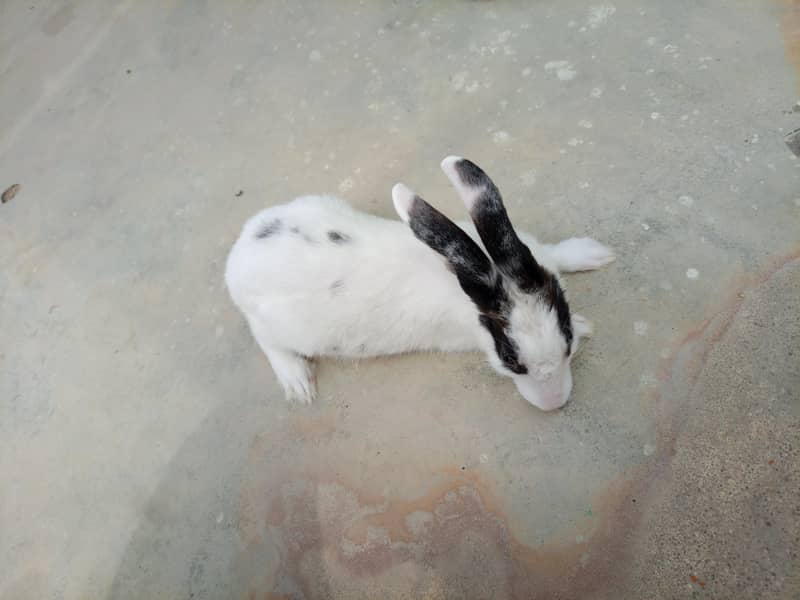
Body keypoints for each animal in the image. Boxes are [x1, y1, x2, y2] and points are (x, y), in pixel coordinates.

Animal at [225, 156, 615, 410]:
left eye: (567, 342)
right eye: (510, 362)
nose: (555, 404)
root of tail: (237, 259)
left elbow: (555, 255)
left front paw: (595, 254)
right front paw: (588, 322)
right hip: (286, 329)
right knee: (266, 340)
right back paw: (298, 381)